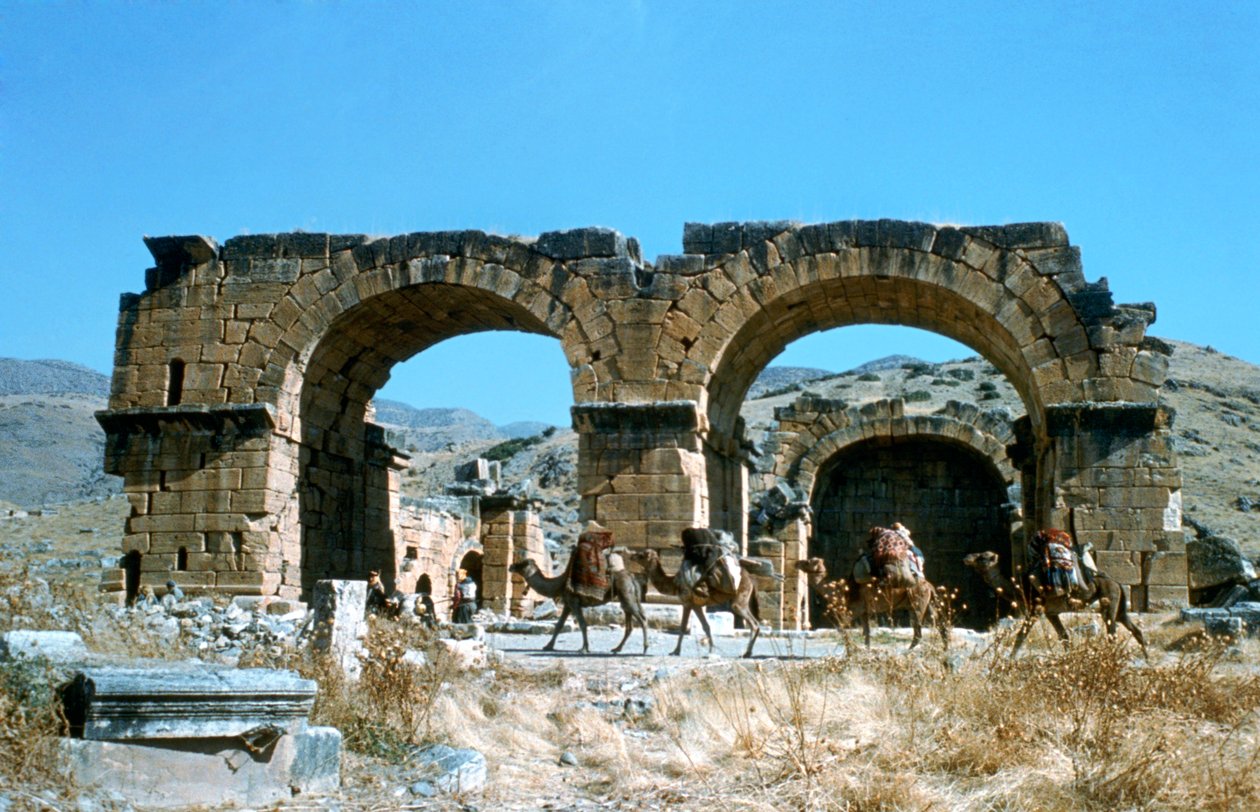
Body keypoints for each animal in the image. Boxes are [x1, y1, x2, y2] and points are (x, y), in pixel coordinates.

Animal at [511, 554, 650, 655]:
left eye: (522, 563)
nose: (511, 566)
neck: (559, 584)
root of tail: (631, 577)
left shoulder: (574, 602)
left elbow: (583, 624)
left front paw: (584, 649)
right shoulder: (568, 604)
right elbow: (559, 625)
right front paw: (548, 646)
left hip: (627, 595)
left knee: (642, 619)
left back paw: (644, 649)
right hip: (627, 598)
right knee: (630, 623)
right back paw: (617, 649)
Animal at [624, 544, 771, 660]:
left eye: (641, 555)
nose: (631, 556)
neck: (674, 583)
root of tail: (751, 579)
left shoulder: (688, 603)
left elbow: (684, 627)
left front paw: (675, 651)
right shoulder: (697, 605)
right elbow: (706, 626)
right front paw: (710, 649)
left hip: (738, 602)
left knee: (754, 623)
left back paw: (746, 653)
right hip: (744, 601)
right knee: (754, 623)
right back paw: (748, 653)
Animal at [791, 557, 942, 645]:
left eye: (808, 562)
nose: (796, 562)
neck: (843, 591)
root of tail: (929, 585)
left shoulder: (853, 611)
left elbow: (842, 629)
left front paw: (850, 653)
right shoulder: (864, 612)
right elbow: (867, 635)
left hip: (917, 602)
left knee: (918, 630)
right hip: (925, 603)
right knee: (936, 622)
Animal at [957, 549, 1149, 655]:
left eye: (983, 557)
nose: (967, 557)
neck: (1020, 589)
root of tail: (1117, 583)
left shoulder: (1035, 608)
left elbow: (1020, 636)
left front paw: (1009, 660)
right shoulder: (1051, 613)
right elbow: (1064, 638)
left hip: (1109, 602)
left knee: (1112, 634)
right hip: (1120, 607)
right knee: (1135, 630)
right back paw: (1147, 661)